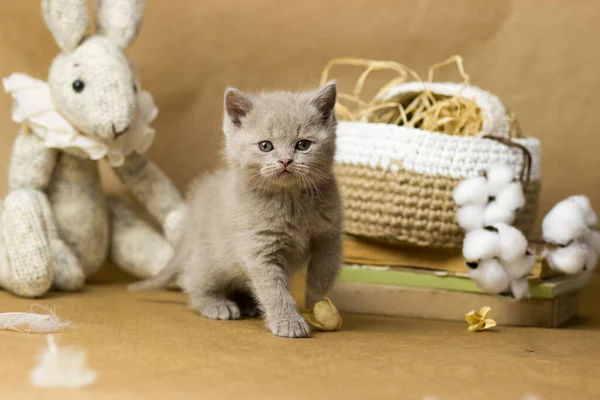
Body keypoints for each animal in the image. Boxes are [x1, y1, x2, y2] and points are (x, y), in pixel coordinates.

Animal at [131, 81, 342, 338]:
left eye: (303, 145)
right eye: (266, 146)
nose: (285, 161)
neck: (290, 200)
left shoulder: (330, 230)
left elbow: (327, 260)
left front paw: (317, 292)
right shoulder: (259, 249)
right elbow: (273, 289)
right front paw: (288, 322)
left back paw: (248, 303)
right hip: (211, 259)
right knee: (191, 278)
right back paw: (216, 304)